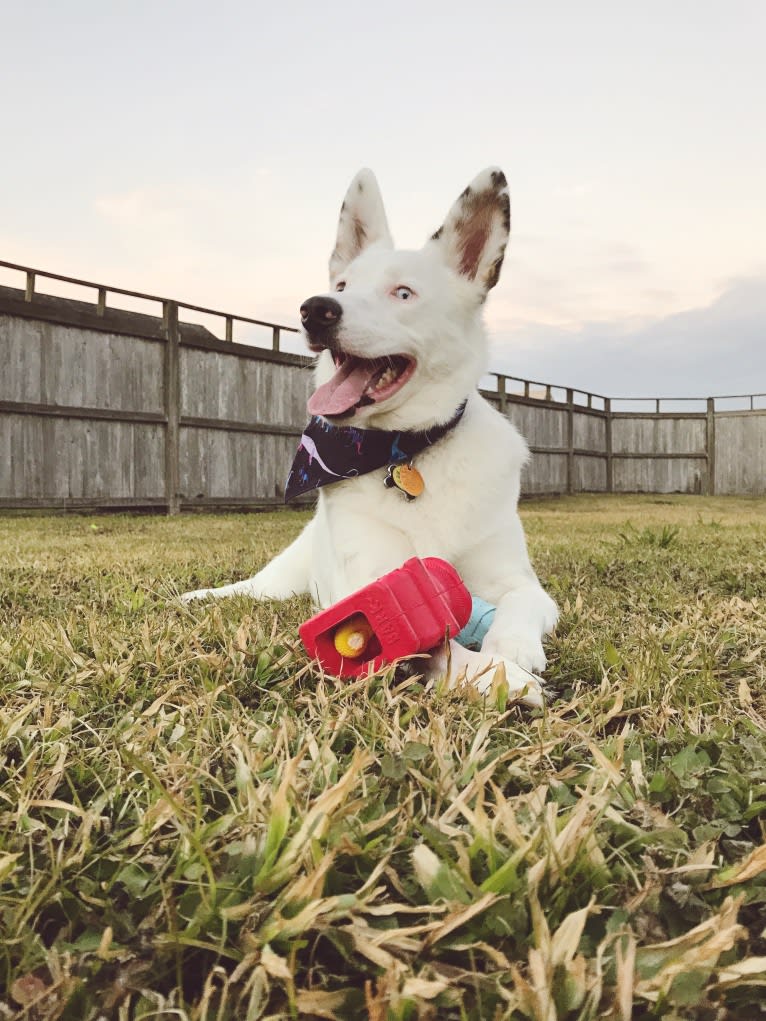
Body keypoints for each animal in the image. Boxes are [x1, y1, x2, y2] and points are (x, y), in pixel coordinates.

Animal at [185, 169, 559, 710]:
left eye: (403, 294)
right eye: (341, 285)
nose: (315, 309)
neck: (408, 450)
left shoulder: (520, 583)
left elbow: (520, 604)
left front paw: (512, 648)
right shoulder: (369, 584)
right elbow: (433, 644)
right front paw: (498, 675)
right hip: (276, 582)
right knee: (247, 589)